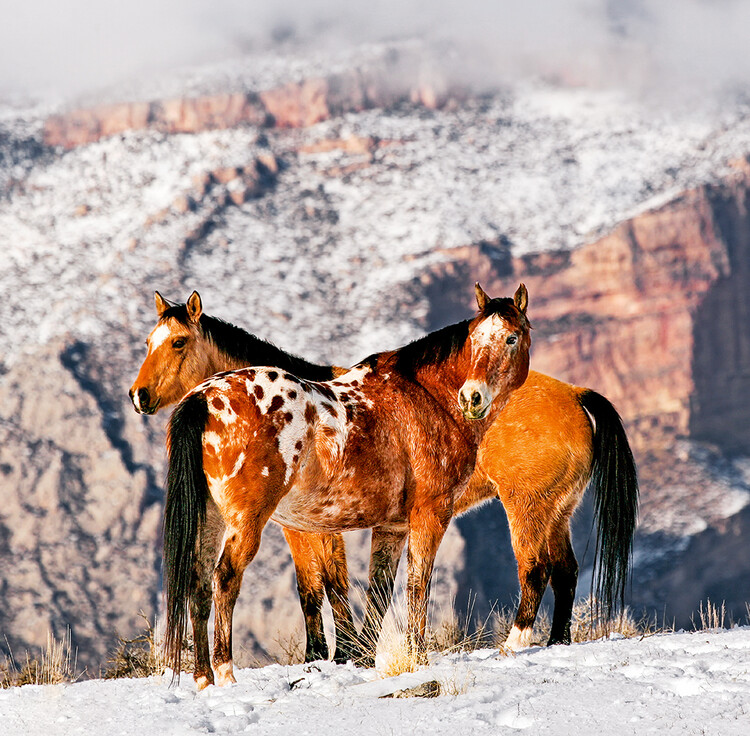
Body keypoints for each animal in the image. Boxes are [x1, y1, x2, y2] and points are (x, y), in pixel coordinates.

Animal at [130, 294, 362, 668]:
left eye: (178, 342)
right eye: (149, 342)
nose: (139, 395)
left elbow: (333, 579)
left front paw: (349, 652)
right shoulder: (296, 525)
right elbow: (310, 585)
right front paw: (318, 654)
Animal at [163, 284, 536, 688]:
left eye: (512, 337)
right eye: (475, 338)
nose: (472, 397)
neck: (425, 397)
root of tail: (202, 398)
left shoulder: (392, 527)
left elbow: (379, 591)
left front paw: (365, 657)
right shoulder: (431, 513)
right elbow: (417, 585)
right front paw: (418, 658)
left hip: (211, 518)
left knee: (199, 580)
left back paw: (203, 677)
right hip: (247, 520)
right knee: (225, 578)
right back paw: (225, 672)